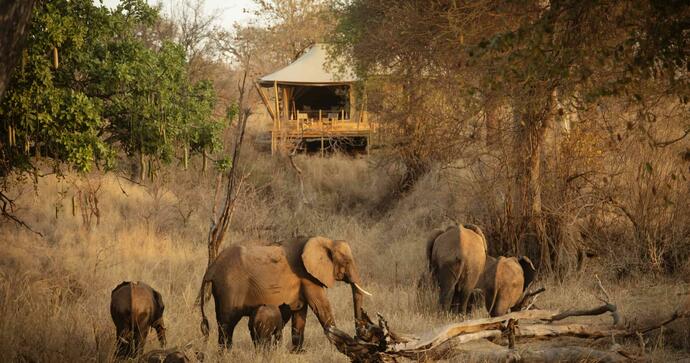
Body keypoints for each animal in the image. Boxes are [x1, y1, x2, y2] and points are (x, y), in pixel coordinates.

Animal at [199, 237, 370, 352]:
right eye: (347, 262)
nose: (359, 336)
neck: (326, 241)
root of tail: (211, 268)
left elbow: (300, 312)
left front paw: (298, 353)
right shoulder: (308, 277)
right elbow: (321, 306)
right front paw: (344, 349)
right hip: (229, 287)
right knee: (227, 323)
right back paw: (225, 353)